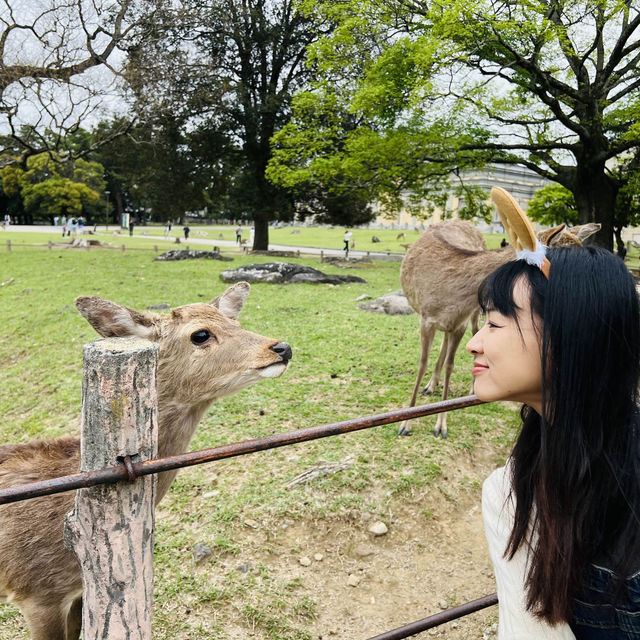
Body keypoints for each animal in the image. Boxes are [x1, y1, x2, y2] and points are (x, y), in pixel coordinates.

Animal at [400, 218, 600, 438]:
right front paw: (406, 423)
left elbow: (450, 366)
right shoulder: (426, 319)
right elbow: (422, 365)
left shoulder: (461, 322)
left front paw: (441, 425)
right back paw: (430, 385)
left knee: (468, 334)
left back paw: (464, 387)